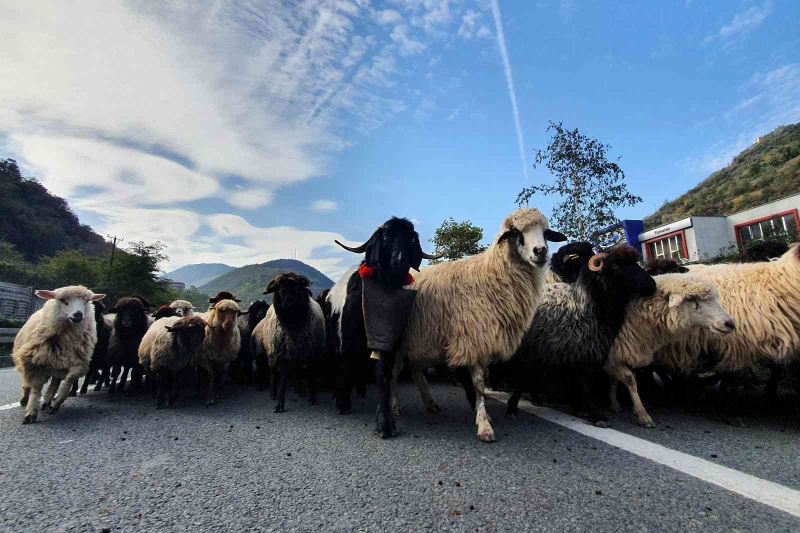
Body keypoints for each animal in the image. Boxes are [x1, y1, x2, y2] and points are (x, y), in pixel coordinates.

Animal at [11, 284, 104, 422]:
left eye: (86, 301)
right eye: (63, 300)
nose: (78, 315)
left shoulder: (78, 363)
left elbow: (69, 381)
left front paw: (57, 402)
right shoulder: (33, 361)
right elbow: (36, 388)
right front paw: (31, 412)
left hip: (58, 363)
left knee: (55, 382)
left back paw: (47, 401)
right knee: (27, 381)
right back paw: (25, 398)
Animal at [252, 272, 324, 414]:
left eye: (298, 288)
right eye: (279, 289)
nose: (288, 303)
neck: (294, 324)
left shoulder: (313, 353)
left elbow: (311, 376)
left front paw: (312, 397)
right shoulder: (282, 355)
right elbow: (283, 381)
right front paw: (280, 403)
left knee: (296, 371)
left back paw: (298, 390)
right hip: (269, 354)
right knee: (273, 374)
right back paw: (273, 392)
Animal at [396, 208, 564, 440]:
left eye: (546, 232)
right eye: (515, 232)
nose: (540, 251)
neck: (491, 275)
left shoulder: (484, 340)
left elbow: (481, 383)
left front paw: (482, 414)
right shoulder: (473, 338)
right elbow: (478, 384)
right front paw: (484, 425)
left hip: (420, 338)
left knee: (414, 368)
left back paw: (429, 403)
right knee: (394, 372)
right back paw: (394, 406)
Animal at [506, 244, 656, 424]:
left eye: (635, 262)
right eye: (615, 266)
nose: (652, 285)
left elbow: (579, 383)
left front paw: (582, 409)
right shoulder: (576, 350)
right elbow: (584, 384)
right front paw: (597, 415)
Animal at [608, 272, 736, 426]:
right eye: (692, 299)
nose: (730, 324)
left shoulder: (616, 355)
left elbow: (614, 379)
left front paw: (614, 404)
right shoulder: (613, 353)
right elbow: (630, 380)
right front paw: (643, 415)